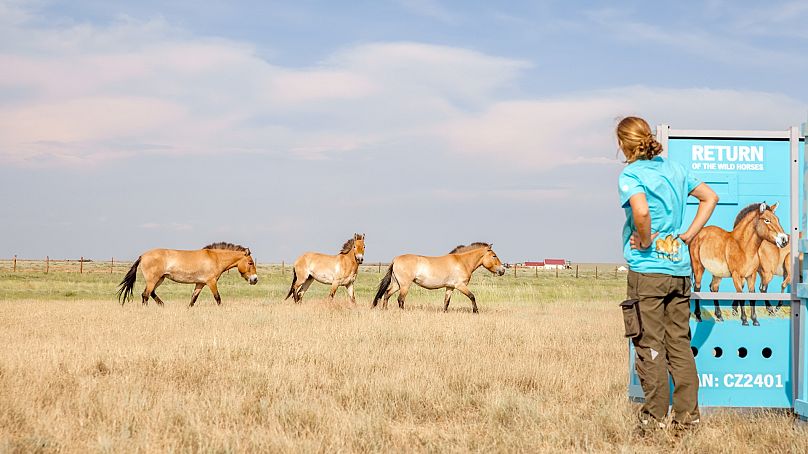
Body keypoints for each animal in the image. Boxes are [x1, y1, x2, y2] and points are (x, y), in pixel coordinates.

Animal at [114, 241, 256, 308]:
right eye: (250, 262)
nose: (255, 279)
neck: (215, 258)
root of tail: (142, 256)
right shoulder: (211, 282)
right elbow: (218, 298)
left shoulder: (200, 283)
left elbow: (193, 299)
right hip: (153, 280)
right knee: (146, 295)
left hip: (159, 279)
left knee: (151, 293)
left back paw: (162, 305)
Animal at [374, 243, 504, 314]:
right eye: (494, 256)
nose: (502, 270)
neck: (462, 262)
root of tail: (395, 259)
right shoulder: (460, 285)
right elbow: (472, 296)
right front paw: (476, 312)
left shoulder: (450, 287)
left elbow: (446, 302)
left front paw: (444, 313)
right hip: (405, 285)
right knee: (400, 299)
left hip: (397, 284)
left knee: (387, 294)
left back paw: (385, 310)